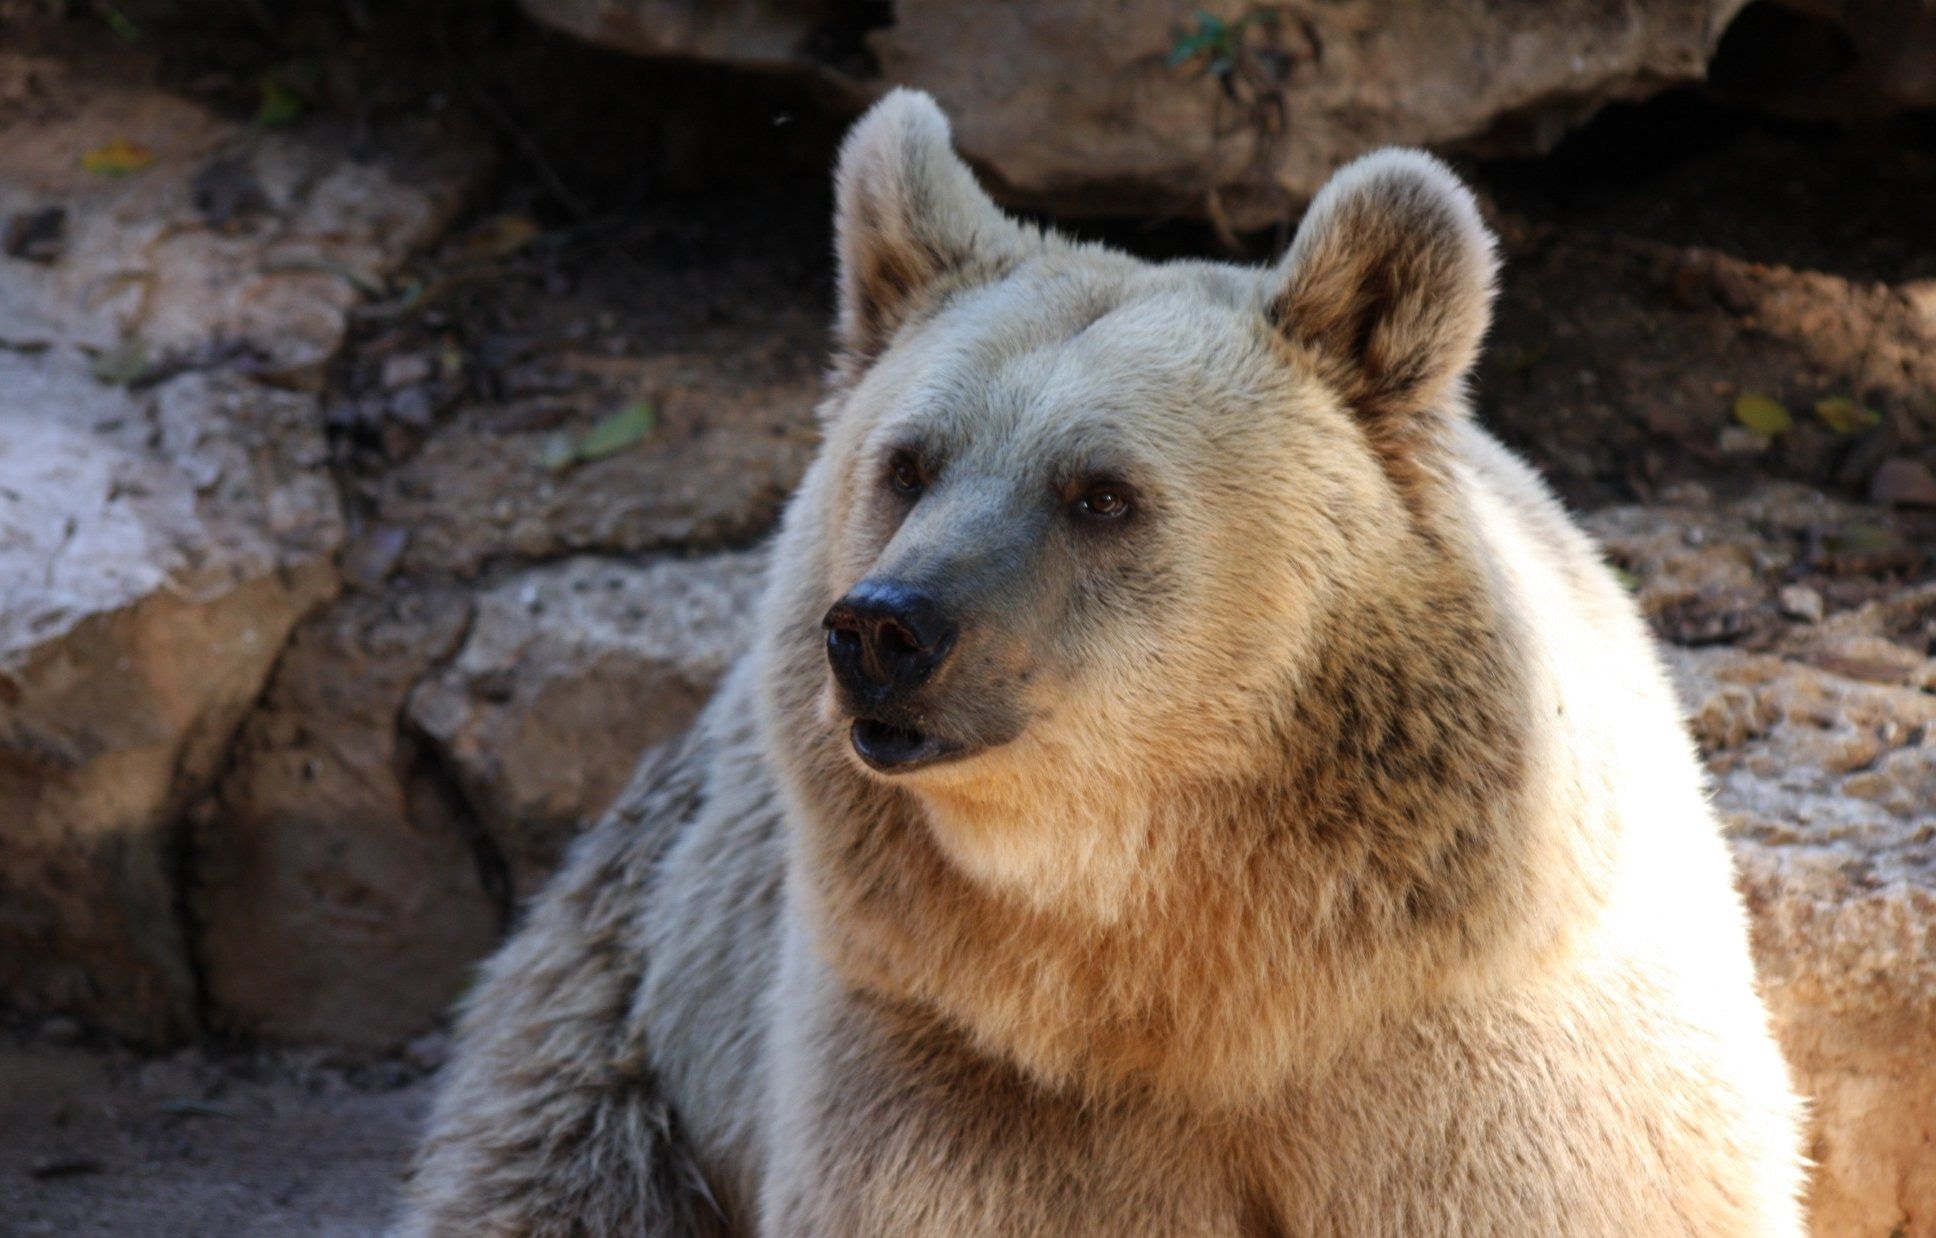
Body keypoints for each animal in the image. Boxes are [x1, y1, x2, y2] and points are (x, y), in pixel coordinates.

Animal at [400, 89, 1804, 1238]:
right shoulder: (965, 1068)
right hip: (633, 1001)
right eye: (908, 462)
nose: (883, 628)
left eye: (1100, 493)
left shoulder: (1473, 1050)